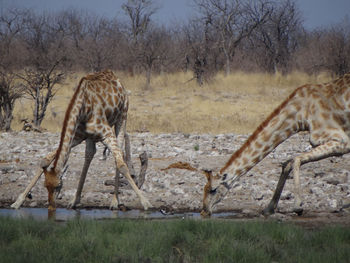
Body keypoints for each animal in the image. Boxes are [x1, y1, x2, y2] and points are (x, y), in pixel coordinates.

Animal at [12, 70, 152, 212]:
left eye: (58, 186)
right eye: (46, 186)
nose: (51, 207)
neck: (84, 107)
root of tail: (115, 78)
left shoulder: (106, 132)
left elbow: (122, 165)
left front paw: (146, 203)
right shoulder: (78, 135)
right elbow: (45, 160)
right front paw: (18, 201)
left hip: (122, 117)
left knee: (119, 153)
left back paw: (114, 202)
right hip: (90, 136)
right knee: (89, 155)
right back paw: (75, 200)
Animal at [201, 73, 350, 218]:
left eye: (213, 190)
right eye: (204, 189)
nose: (204, 211)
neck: (300, 115)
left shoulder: (342, 141)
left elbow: (295, 160)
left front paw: (298, 206)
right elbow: (286, 164)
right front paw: (268, 209)